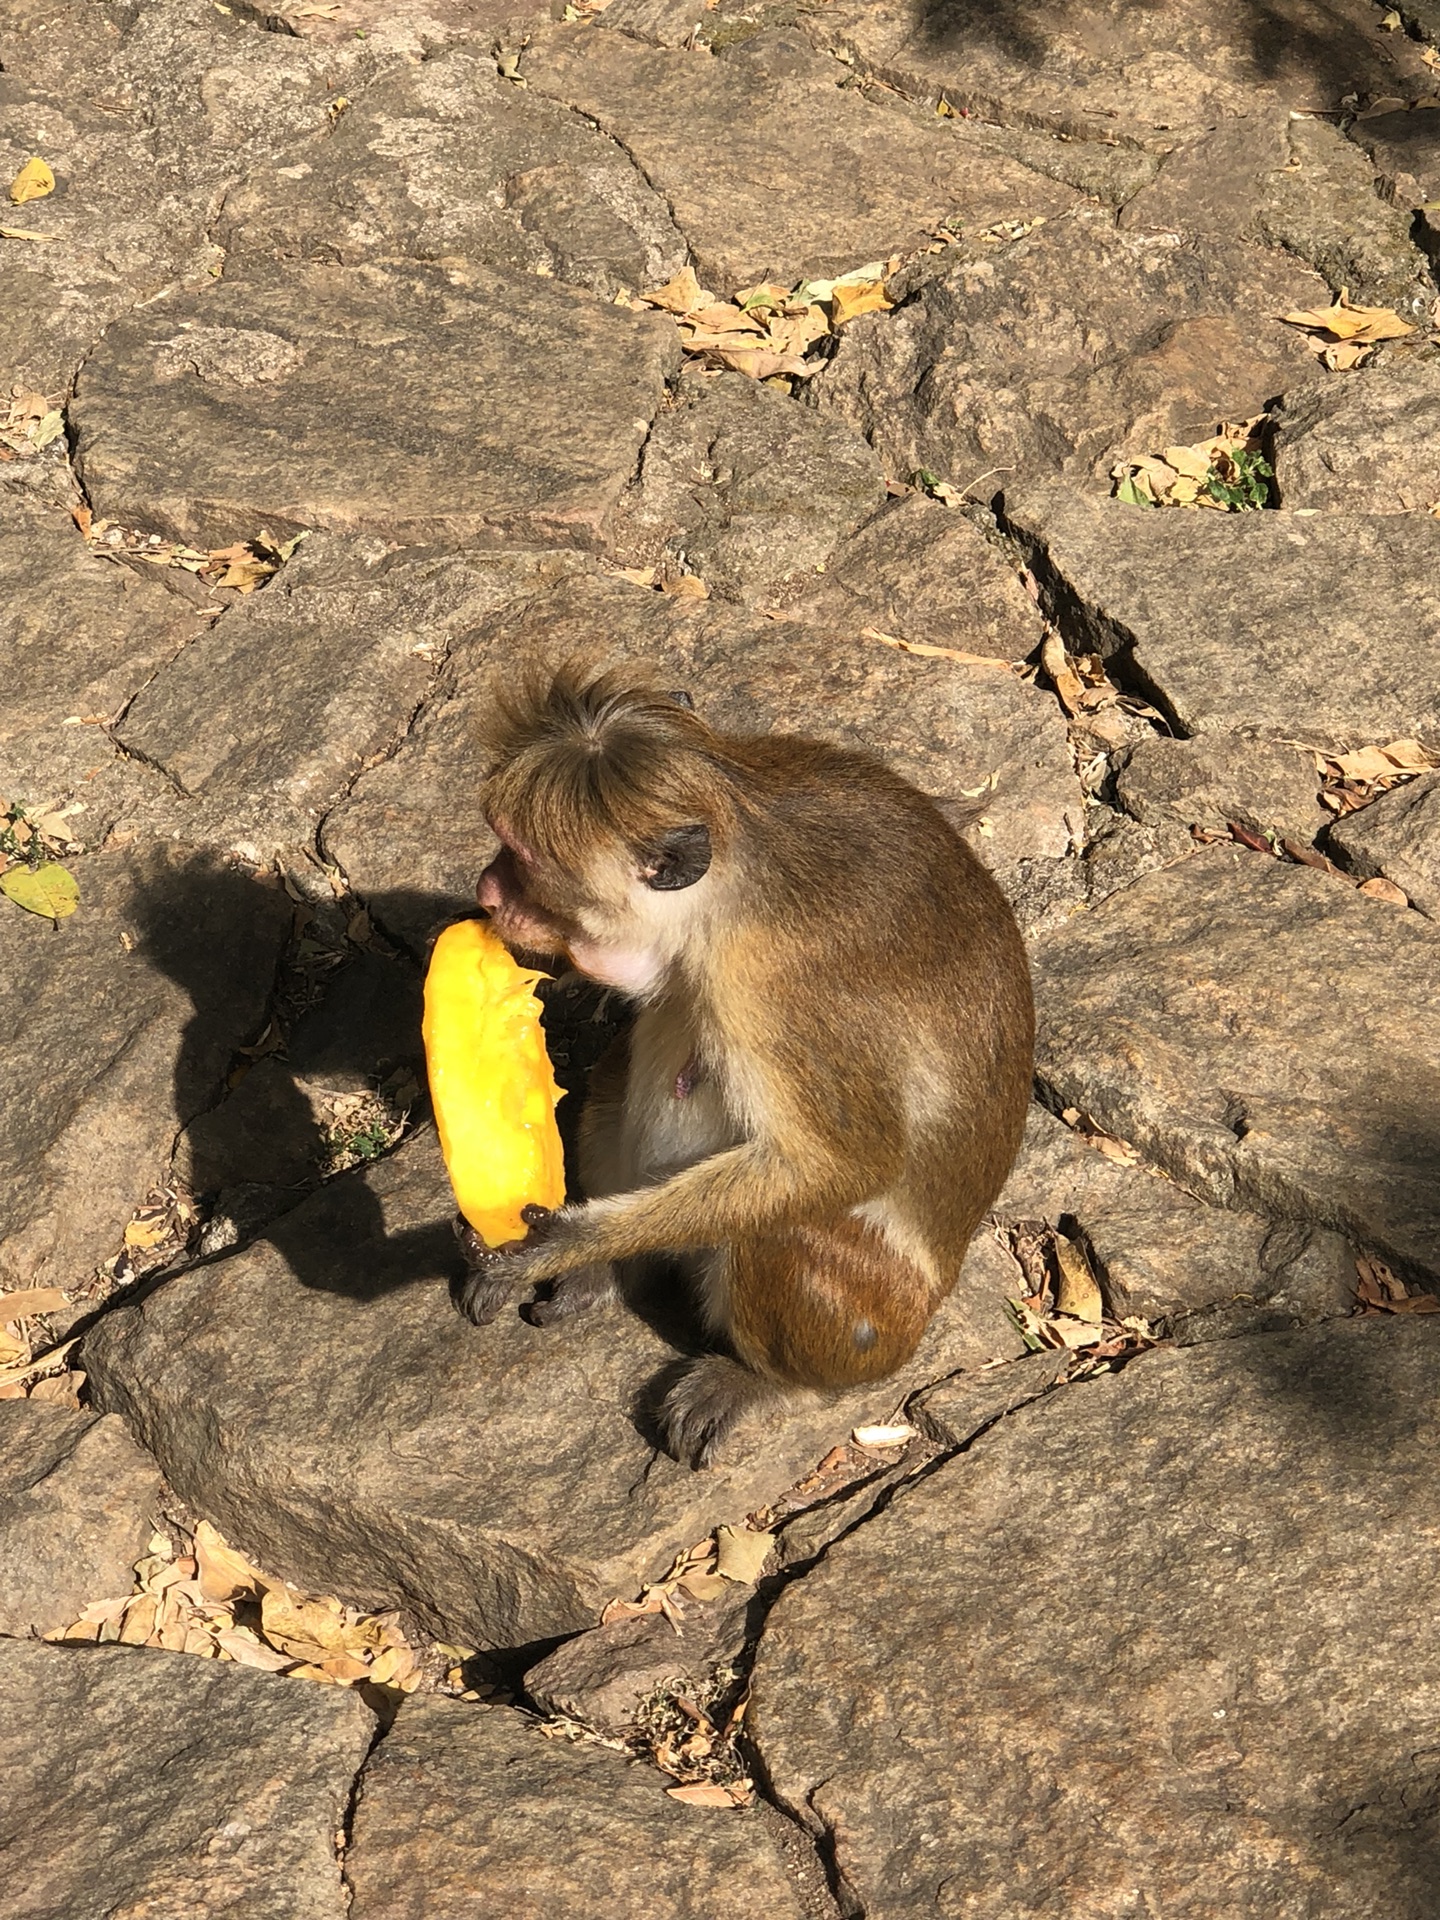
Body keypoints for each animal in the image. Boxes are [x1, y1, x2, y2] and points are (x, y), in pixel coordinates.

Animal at [458, 660, 1036, 1466]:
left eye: (524, 859)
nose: (486, 888)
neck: (732, 877)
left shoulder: (775, 990)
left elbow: (841, 1165)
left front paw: (565, 1243)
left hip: (874, 1318)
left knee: (787, 1226)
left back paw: (768, 1381)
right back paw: (611, 1272)